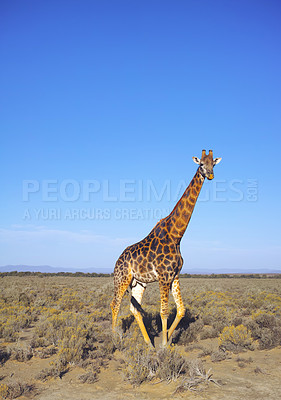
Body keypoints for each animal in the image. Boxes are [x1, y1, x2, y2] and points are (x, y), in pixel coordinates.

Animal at [109, 150, 221, 346]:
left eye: (213, 164)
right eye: (201, 164)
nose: (210, 175)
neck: (177, 236)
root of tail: (117, 260)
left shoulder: (175, 275)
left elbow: (181, 309)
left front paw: (166, 339)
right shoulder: (164, 276)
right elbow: (164, 311)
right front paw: (163, 345)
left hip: (139, 283)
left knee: (133, 308)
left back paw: (148, 343)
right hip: (121, 279)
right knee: (115, 304)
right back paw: (114, 338)